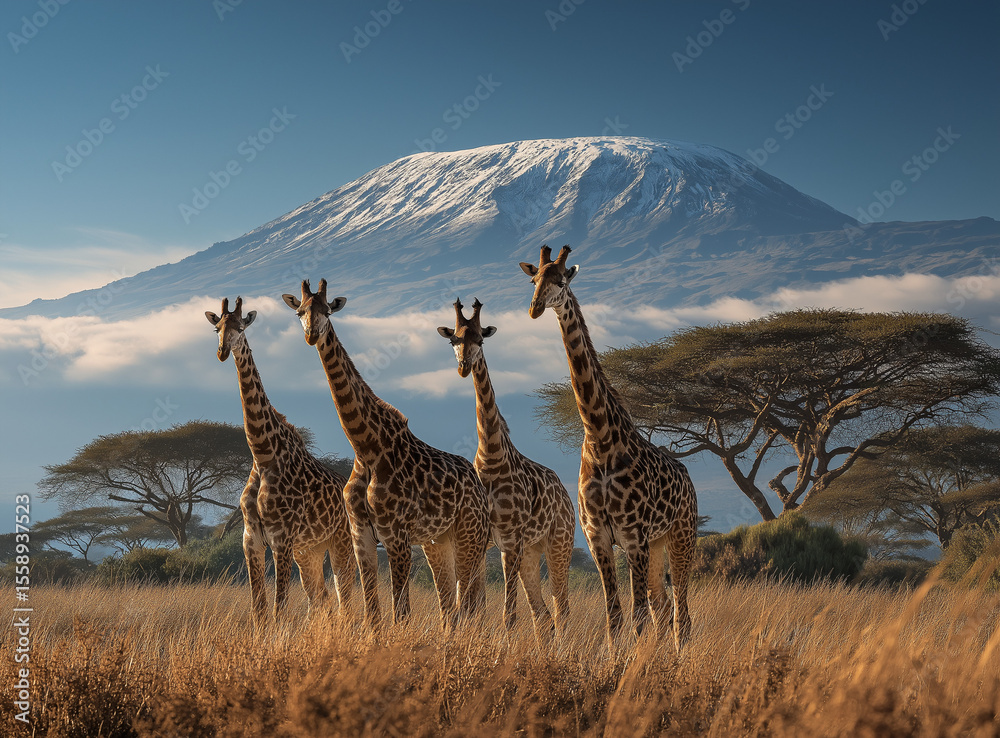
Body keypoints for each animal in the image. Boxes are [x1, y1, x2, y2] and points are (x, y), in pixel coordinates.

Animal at [205, 297, 356, 628]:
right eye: (216, 328)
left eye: (240, 327)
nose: (222, 351)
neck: (263, 455)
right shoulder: (251, 539)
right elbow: (259, 609)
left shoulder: (281, 539)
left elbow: (279, 608)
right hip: (309, 550)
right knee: (321, 598)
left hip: (339, 542)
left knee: (344, 597)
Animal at [282, 280, 491, 630]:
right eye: (300, 311)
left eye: (327, 310)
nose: (312, 334)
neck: (367, 448)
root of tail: (480, 489)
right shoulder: (361, 534)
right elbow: (373, 613)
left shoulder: (397, 535)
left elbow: (401, 613)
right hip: (439, 541)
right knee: (451, 605)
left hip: (470, 536)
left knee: (471, 602)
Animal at [437, 298, 575, 640]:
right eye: (453, 340)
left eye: (481, 339)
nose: (463, 367)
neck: (491, 457)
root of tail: (567, 498)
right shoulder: (484, 540)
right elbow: (475, 608)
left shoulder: (510, 540)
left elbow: (507, 615)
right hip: (531, 552)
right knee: (543, 615)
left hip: (559, 544)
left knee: (562, 610)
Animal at [520, 246, 698, 651]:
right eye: (534, 279)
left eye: (561, 281)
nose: (535, 308)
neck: (600, 439)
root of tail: (689, 480)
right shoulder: (597, 535)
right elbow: (614, 616)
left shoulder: (633, 536)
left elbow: (636, 617)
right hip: (658, 545)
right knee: (663, 607)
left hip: (681, 536)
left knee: (680, 612)